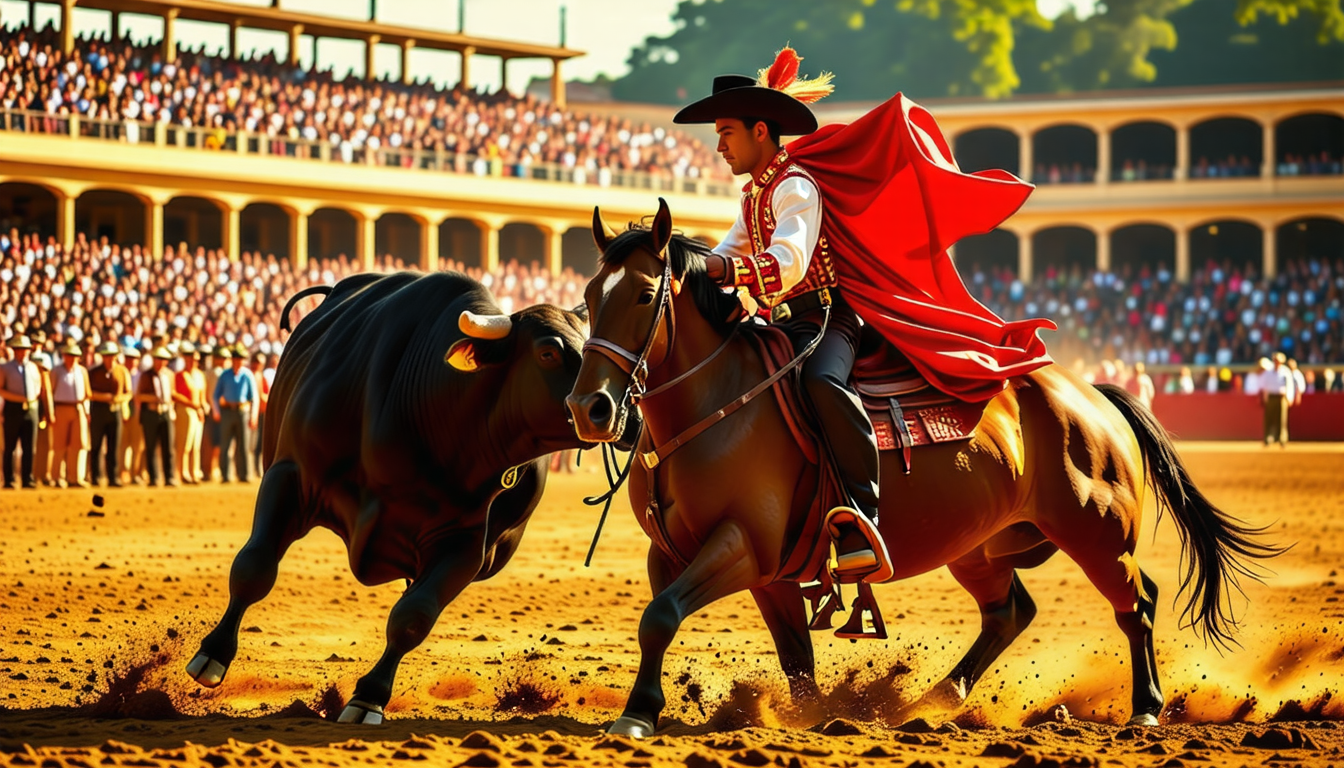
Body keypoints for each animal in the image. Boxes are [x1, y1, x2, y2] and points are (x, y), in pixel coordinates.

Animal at [181, 273, 626, 726]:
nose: (614, 410)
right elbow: (253, 568)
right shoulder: (288, 476)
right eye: (548, 352)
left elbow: (414, 616)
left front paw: (368, 698)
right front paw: (211, 655)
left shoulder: (466, 543)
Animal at [567, 200, 1279, 737]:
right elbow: (787, 655)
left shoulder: (742, 546)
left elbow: (660, 616)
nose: (589, 406)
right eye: (587, 297)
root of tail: (1092, 395)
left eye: (643, 294)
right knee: (1010, 612)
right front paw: (810, 716)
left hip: (1098, 534)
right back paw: (934, 700)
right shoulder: (718, 561)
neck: (717, 404)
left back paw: (1147, 709)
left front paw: (636, 715)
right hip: (979, 546)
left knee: (1137, 604)